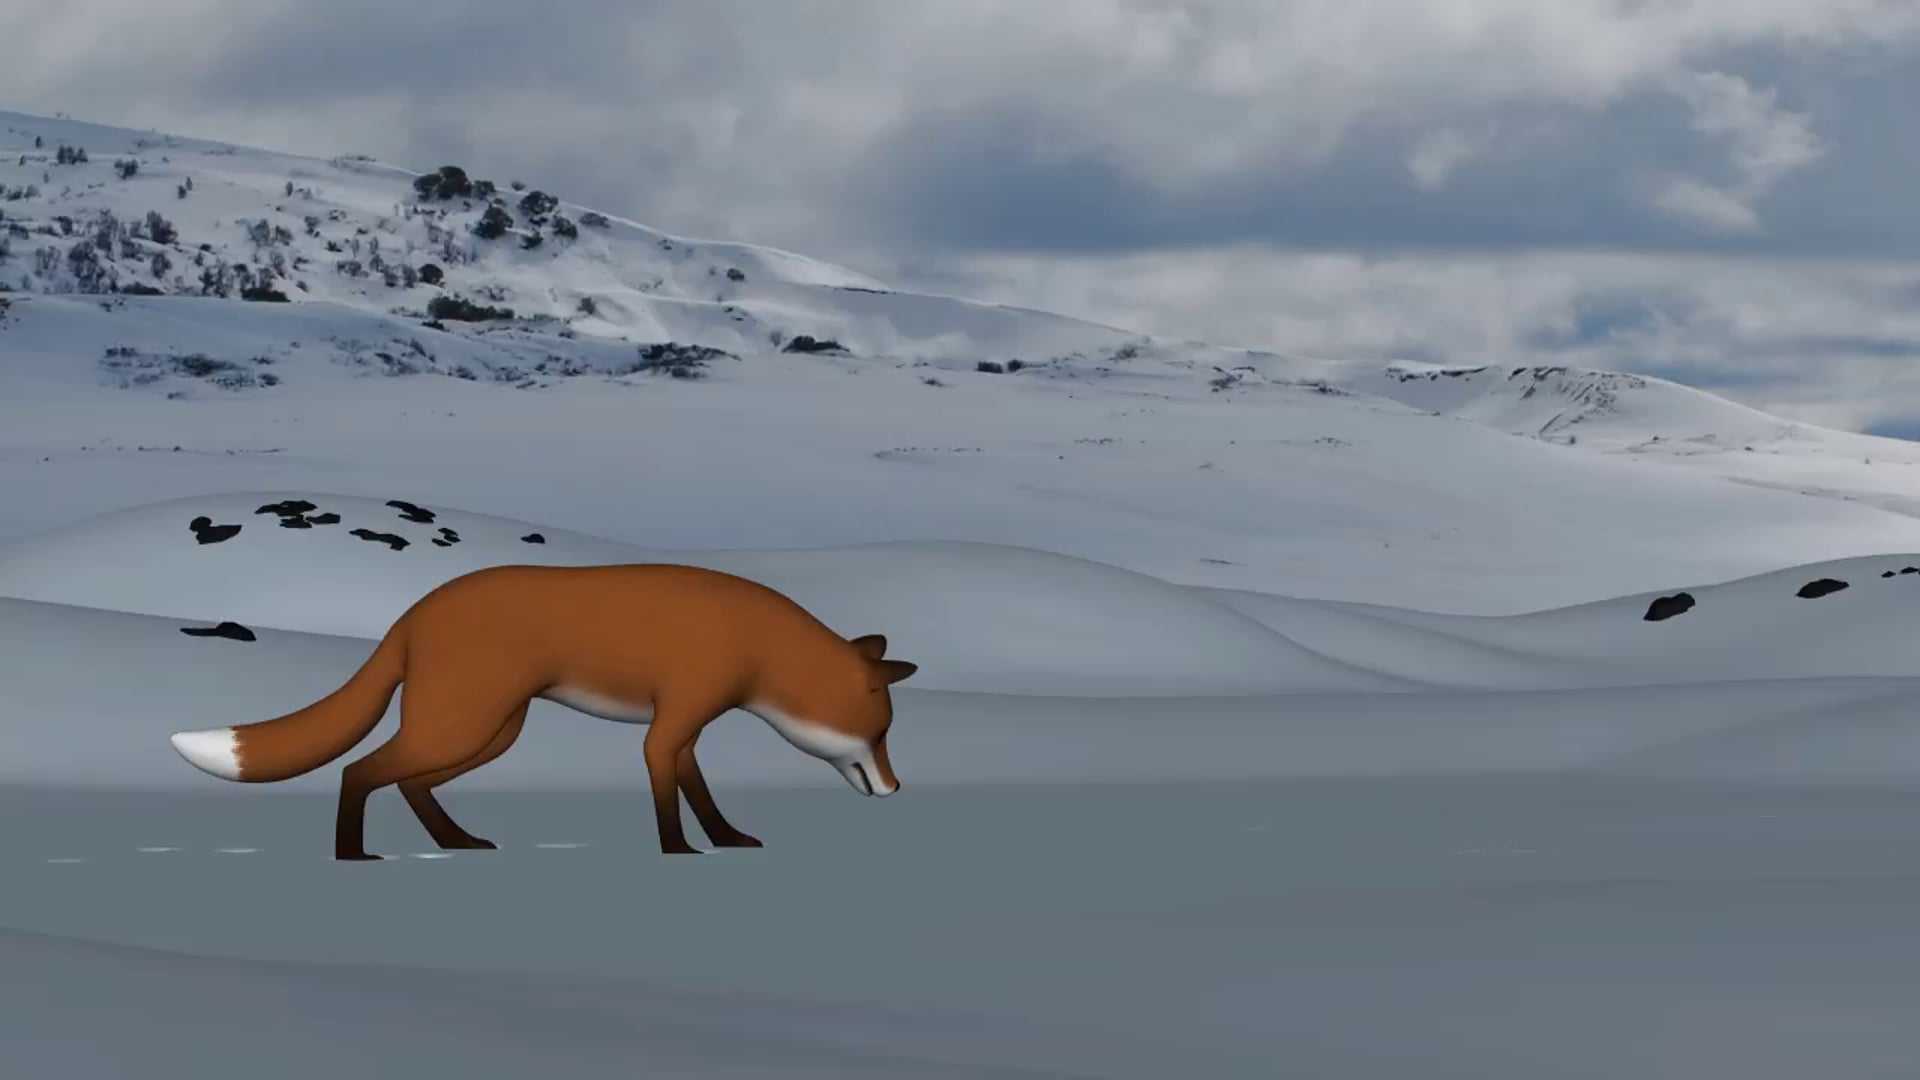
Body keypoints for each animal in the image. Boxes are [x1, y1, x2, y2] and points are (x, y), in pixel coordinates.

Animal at [166, 563, 918, 859]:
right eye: (881, 734)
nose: (896, 788)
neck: (757, 646)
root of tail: (413, 613)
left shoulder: (687, 728)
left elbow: (700, 793)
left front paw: (726, 840)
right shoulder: (670, 725)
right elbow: (668, 793)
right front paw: (677, 850)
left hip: (493, 731)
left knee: (408, 782)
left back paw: (457, 842)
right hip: (464, 724)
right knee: (361, 771)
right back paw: (353, 856)